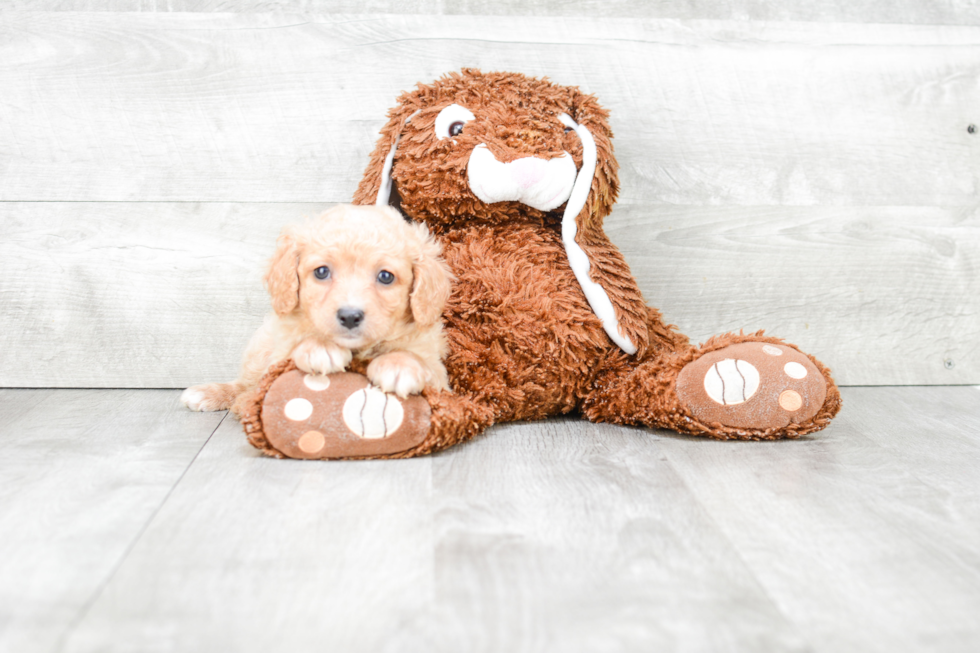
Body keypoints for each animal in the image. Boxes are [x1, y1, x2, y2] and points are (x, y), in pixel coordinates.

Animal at [182, 204, 454, 412]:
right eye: (322, 272)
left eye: (386, 276)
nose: (350, 316)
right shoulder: (279, 355)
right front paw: (320, 348)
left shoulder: (438, 376)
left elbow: (415, 357)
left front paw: (399, 365)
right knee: (248, 384)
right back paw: (210, 392)